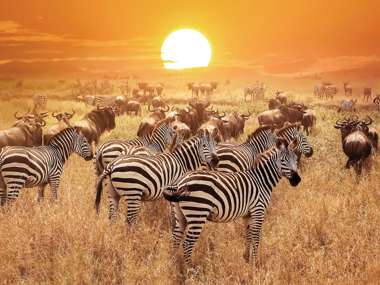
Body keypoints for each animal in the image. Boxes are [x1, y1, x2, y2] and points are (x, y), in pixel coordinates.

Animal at [165, 136, 302, 266]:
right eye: (283, 160)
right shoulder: (258, 210)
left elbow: (248, 235)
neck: (261, 180)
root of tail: (181, 182)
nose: (297, 180)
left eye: (295, 159)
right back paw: (191, 270)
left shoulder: (248, 214)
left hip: (180, 214)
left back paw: (174, 264)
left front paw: (247, 258)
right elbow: (256, 237)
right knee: (187, 244)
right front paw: (255, 263)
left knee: (176, 238)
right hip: (197, 213)